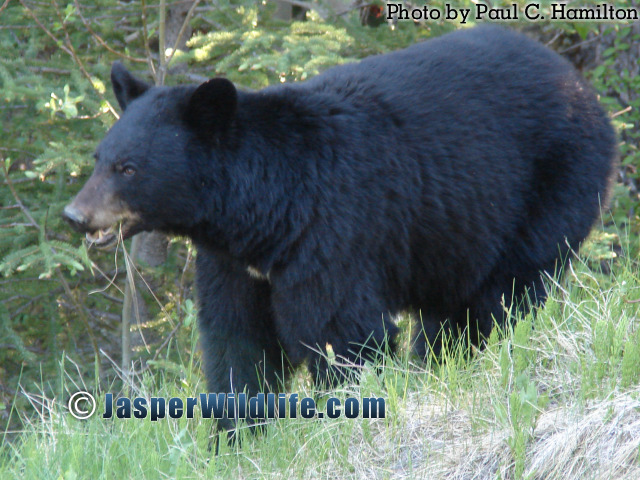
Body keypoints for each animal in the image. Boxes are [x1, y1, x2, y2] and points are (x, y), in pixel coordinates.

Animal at [63, 25, 616, 432]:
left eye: (129, 168)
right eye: (98, 158)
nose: (75, 215)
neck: (261, 212)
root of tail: (583, 88)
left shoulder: (332, 230)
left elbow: (339, 331)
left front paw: (346, 412)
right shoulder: (232, 263)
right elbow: (237, 341)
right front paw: (236, 436)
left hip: (550, 186)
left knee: (503, 294)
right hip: (455, 232)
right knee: (452, 310)